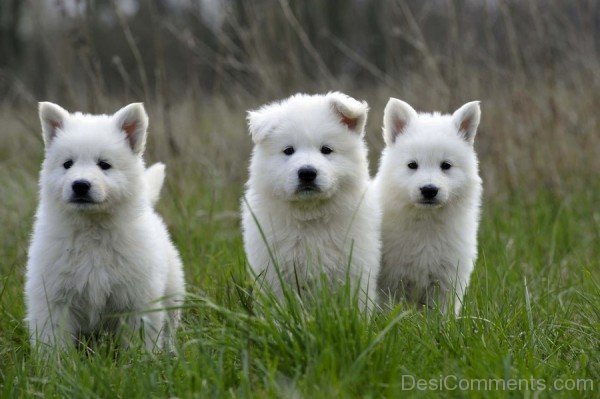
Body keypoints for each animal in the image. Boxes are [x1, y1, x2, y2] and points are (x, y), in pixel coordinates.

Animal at [25, 102, 185, 350]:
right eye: (67, 164)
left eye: (104, 165)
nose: (80, 185)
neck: (92, 230)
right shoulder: (54, 298)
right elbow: (54, 342)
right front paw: (56, 362)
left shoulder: (136, 297)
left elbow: (140, 341)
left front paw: (141, 359)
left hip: (171, 292)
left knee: (169, 330)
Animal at [240, 92, 378, 308]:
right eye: (288, 150)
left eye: (326, 149)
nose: (306, 173)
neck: (310, 215)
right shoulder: (273, 267)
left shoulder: (354, 264)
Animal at [376, 99, 482, 316]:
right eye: (412, 165)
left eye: (446, 165)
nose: (429, 190)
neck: (426, 221)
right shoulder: (388, 282)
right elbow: (388, 312)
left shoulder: (446, 281)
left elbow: (440, 316)